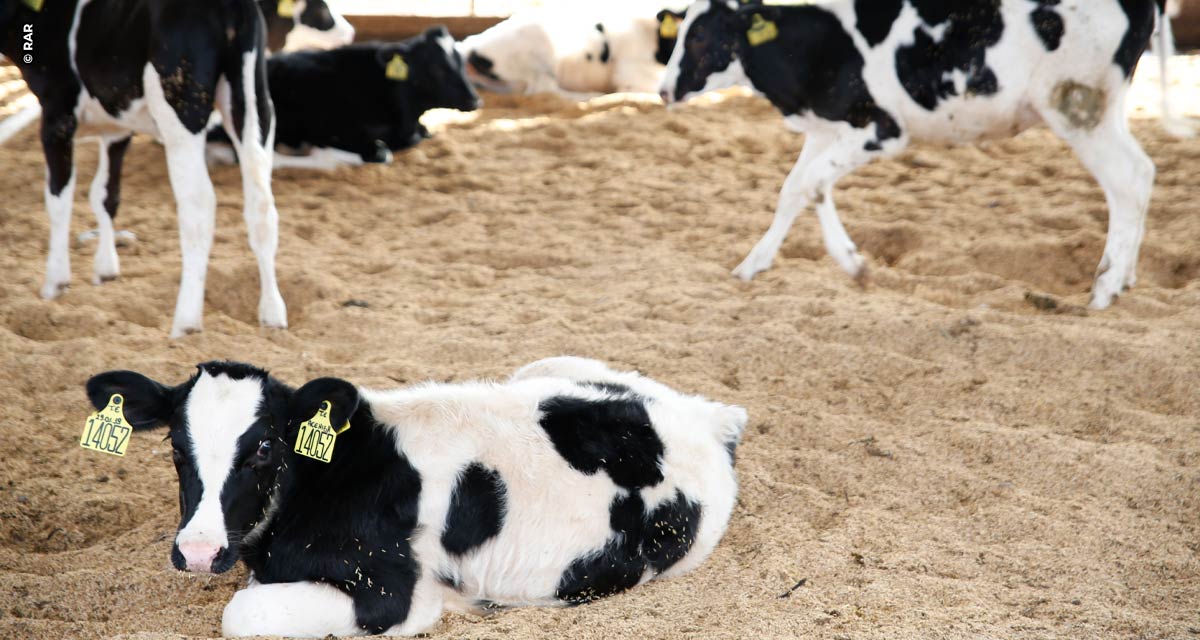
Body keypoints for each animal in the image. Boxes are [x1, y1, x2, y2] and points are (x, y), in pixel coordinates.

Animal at [87, 355, 739, 633]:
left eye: (265, 449)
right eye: (176, 445)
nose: (198, 551)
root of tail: (705, 415)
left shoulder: (392, 593)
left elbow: (244, 613)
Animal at [657, 0, 1171, 309]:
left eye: (700, 38)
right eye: (678, 33)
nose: (663, 90)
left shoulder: (882, 129)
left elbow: (813, 184)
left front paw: (853, 262)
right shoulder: (826, 128)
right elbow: (795, 189)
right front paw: (752, 264)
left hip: (1076, 105)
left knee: (1126, 179)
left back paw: (1104, 289)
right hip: (1105, 108)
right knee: (1143, 173)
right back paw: (1124, 277)